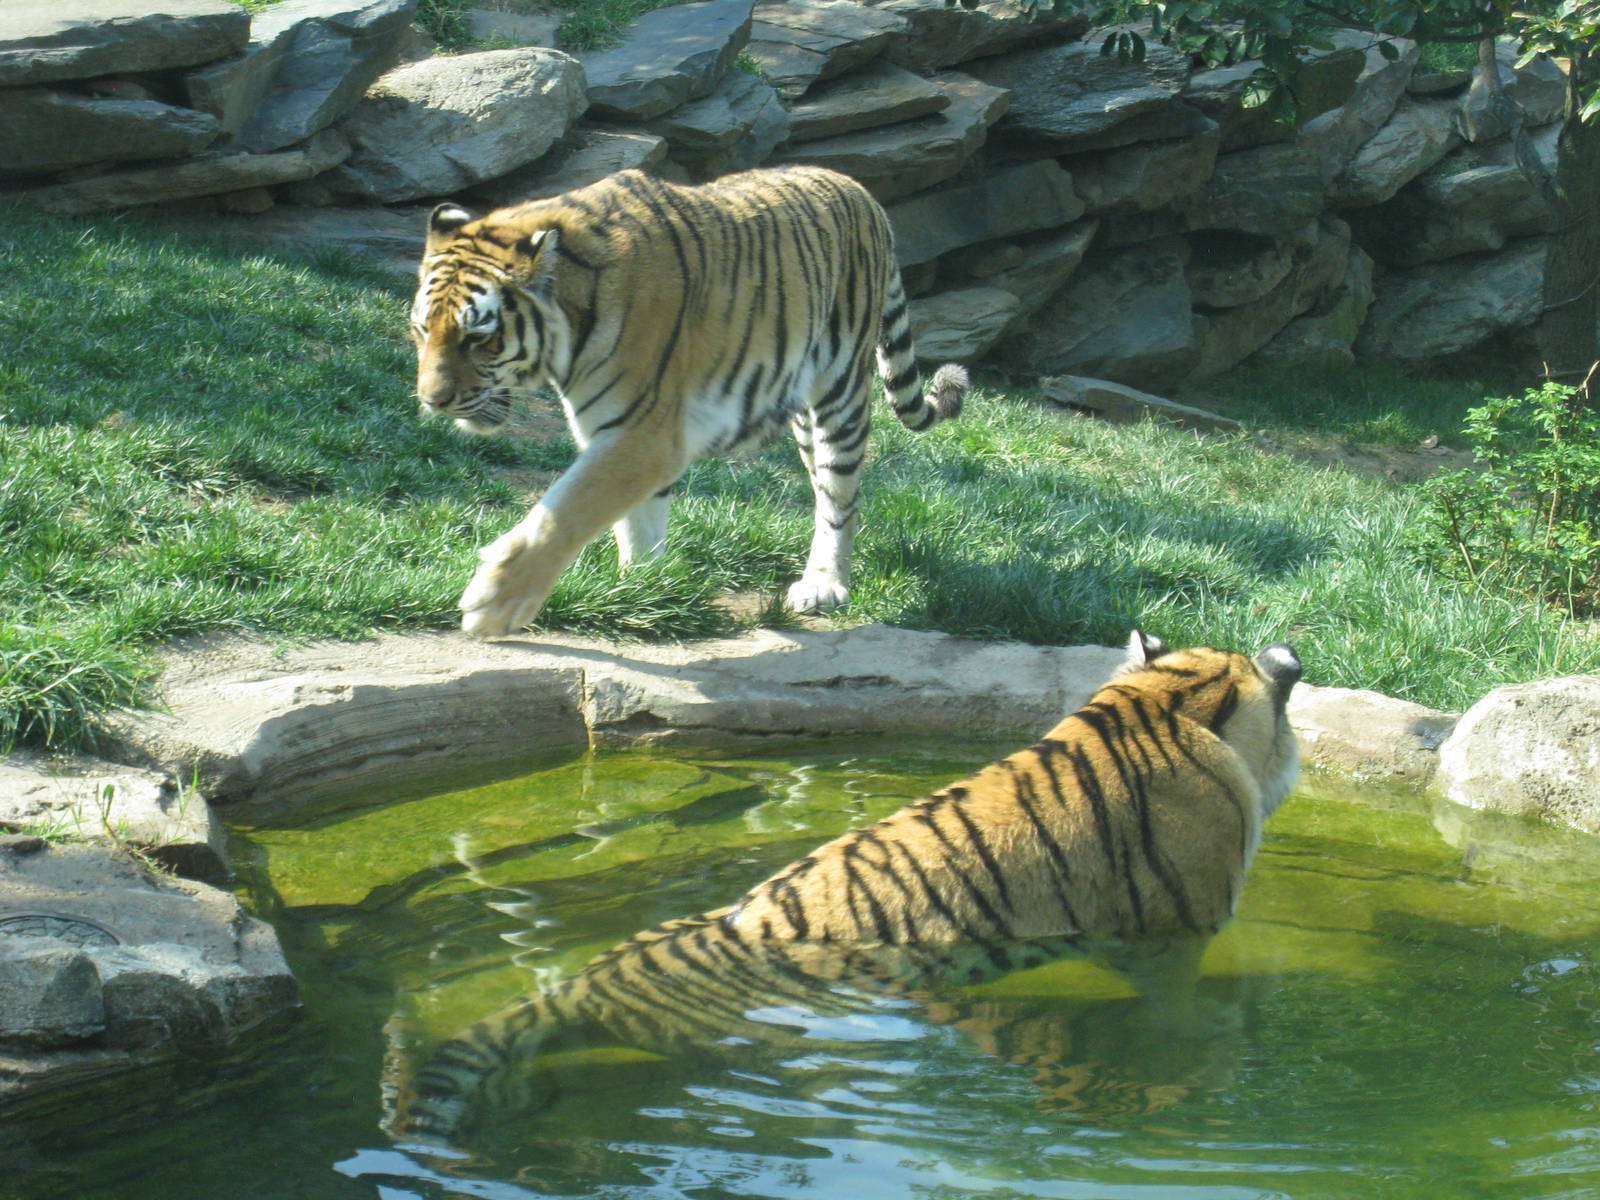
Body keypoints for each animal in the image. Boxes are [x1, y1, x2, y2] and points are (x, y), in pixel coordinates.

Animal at [409, 165, 969, 639]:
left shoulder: (642, 432)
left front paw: (495, 602)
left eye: (478, 338)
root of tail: (860, 189)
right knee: (821, 488)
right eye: (422, 330)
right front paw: (642, 591)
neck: (572, 309)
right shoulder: (617, 429)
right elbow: (635, 520)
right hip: (803, 415)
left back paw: (824, 584)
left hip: (840, 394)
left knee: (840, 499)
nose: (431, 401)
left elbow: (565, 510)